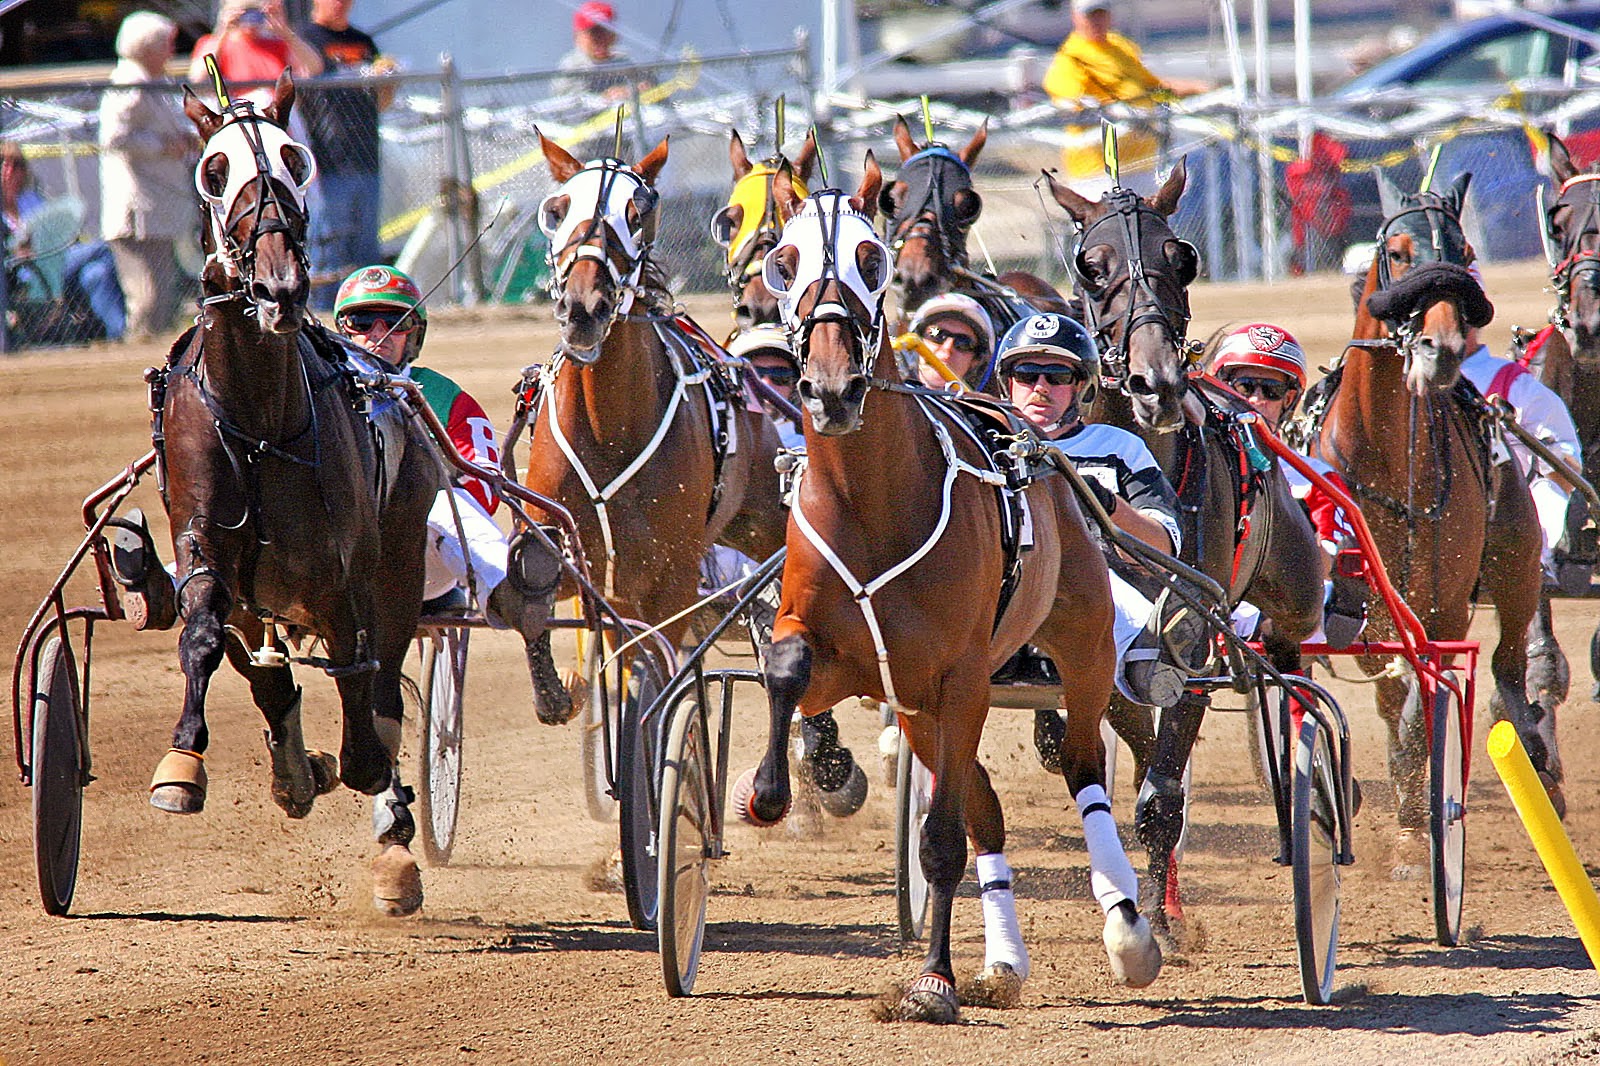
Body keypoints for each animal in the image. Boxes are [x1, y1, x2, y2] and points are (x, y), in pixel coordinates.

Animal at [157, 72, 442, 914]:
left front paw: (375, 796)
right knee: (269, 670)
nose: (280, 284)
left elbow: (366, 714)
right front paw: (184, 765)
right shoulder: (206, 545)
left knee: (379, 685)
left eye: (296, 159)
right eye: (214, 170)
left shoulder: (343, 577)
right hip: (263, 597)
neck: (258, 417)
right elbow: (206, 637)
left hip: (399, 561)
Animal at [738, 157, 1162, 1022]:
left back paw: (1128, 929)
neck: (871, 500)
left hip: (1082, 650)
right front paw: (766, 790)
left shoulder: (961, 674)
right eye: (783, 262)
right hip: (921, 705)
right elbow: (788, 668)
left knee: (1081, 765)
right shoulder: (853, 661)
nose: (831, 388)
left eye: (869, 258)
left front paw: (933, 980)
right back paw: (1005, 959)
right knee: (984, 809)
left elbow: (938, 841)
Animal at [1043, 166, 1326, 932]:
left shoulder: (1193, 627)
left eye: (1183, 257)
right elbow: (1138, 747)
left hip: (1294, 580)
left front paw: (1160, 923)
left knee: (1289, 642)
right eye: (1090, 264)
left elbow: (1162, 796)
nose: (1157, 383)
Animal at [1313, 171, 1558, 847]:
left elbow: (1430, 697)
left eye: (1465, 255)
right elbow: (1391, 691)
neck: (1390, 456)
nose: (1442, 348)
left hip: (1516, 561)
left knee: (1508, 664)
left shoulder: (1443, 603)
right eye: (1398, 253)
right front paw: (1401, 791)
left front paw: (1421, 795)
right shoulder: (1362, 602)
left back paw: (1533, 750)